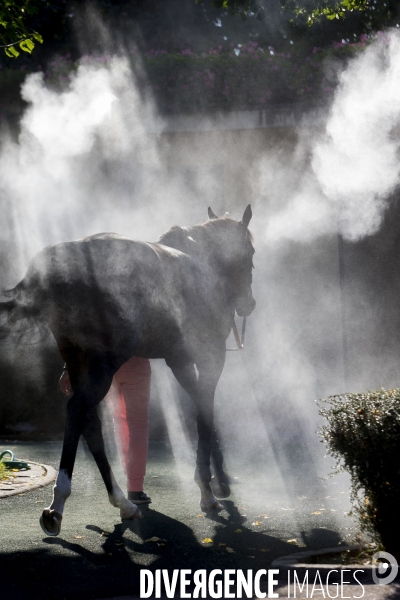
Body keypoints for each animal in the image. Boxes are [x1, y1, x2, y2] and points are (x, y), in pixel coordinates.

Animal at [0, 205, 255, 536]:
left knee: (89, 422)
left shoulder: (179, 360)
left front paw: (217, 481)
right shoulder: (210, 356)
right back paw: (58, 506)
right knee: (77, 409)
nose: (248, 304)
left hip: (78, 360)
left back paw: (123, 502)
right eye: (251, 251)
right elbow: (206, 413)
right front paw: (209, 490)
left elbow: (202, 407)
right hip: (104, 363)